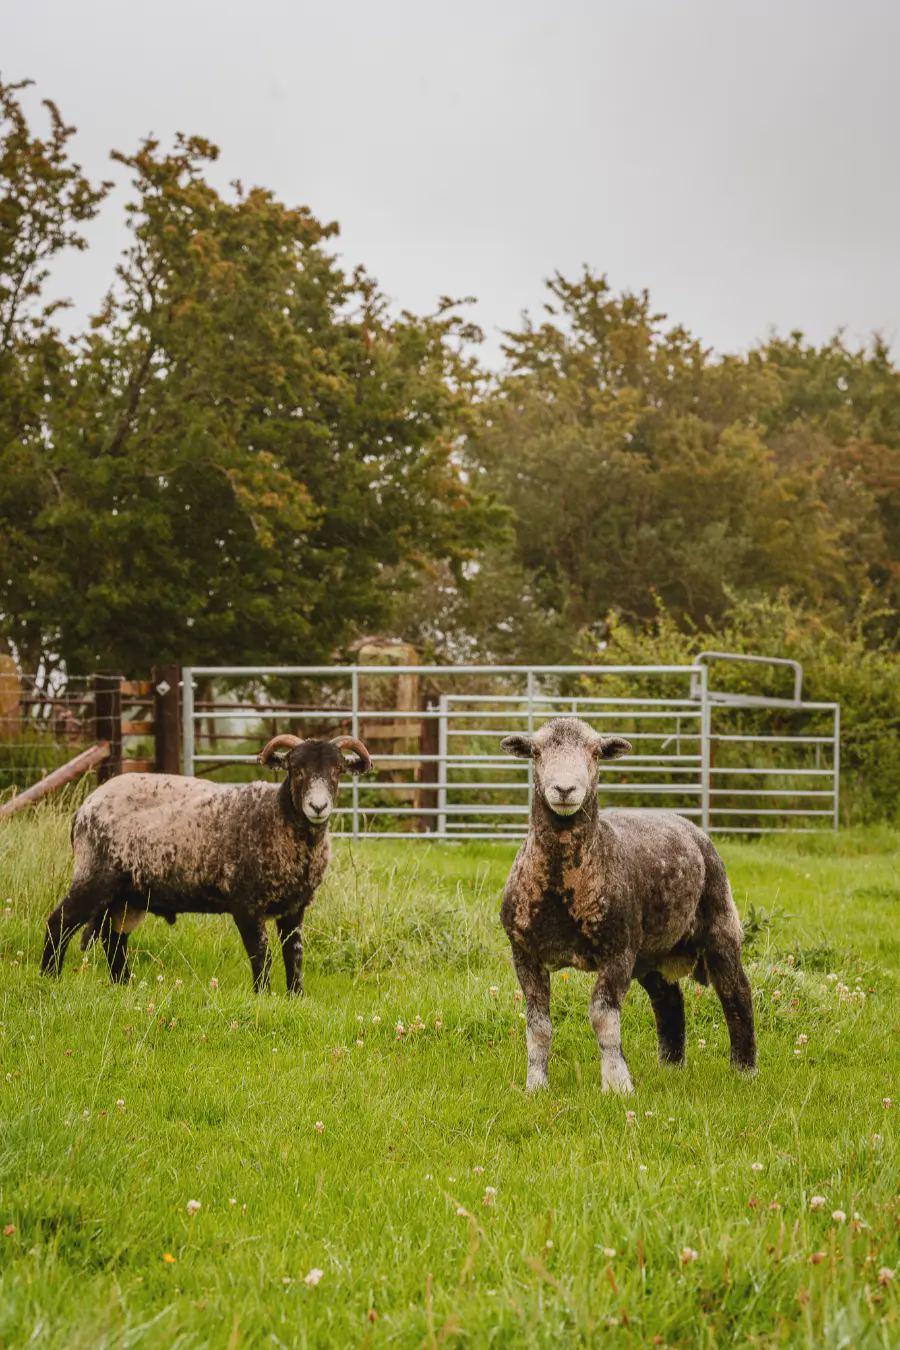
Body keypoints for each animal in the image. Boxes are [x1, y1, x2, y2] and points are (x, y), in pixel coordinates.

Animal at [40, 733, 371, 993]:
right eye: (296, 770)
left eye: (337, 771)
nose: (318, 806)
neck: (278, 819)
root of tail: (84, 809)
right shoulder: (245, 904)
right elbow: (261, 955)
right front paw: (263, 996)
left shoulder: (294, 907)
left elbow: (294, 955)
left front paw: (295, 997)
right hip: (95, 875)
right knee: (60, 923)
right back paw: (49, 978)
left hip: (127, 896)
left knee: (113, 939)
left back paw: (124, 985)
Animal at [499, 717, 756, 1093]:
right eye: (535, 751)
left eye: (595, 753)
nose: (564, 789)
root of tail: (685, 823)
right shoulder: (524, 954)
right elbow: (538, 1025)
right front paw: (536, 1085)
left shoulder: (617, 951)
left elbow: (603, 1018)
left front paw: (617, 1085)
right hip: (650, 952)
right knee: (668, 1000)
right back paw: (670, 1066)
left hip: (719, 921)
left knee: (735, 992)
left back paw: (744, 1069)